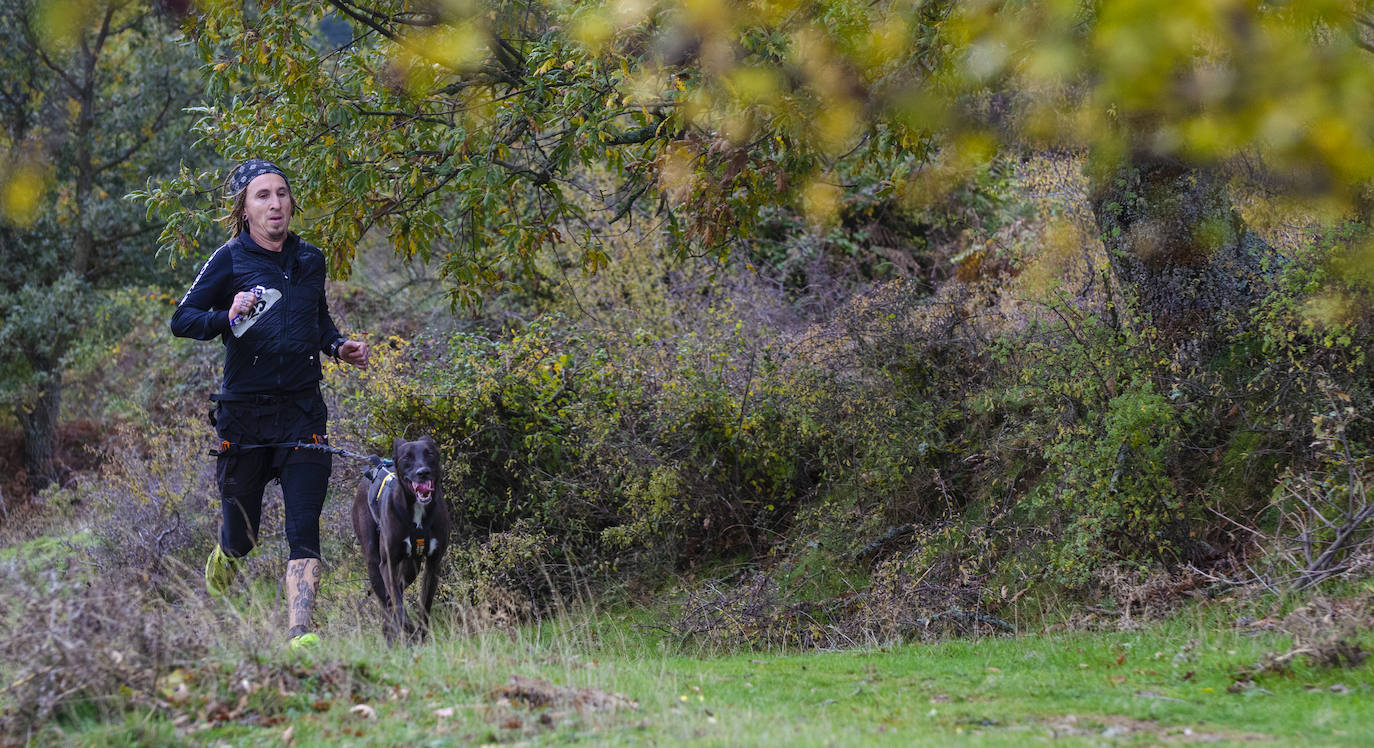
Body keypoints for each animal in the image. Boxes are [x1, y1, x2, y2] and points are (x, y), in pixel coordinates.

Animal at [348, 437, 450, 643]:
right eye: (407, 457)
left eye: (429, 453)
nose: (423, 472)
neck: (418, 513)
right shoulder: (387, 564)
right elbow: (398, 607)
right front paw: (410, 635)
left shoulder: (433, 563)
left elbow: (425, 606)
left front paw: (420, 636)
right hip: (373, 562)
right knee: (387, 602)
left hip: (412, 567)